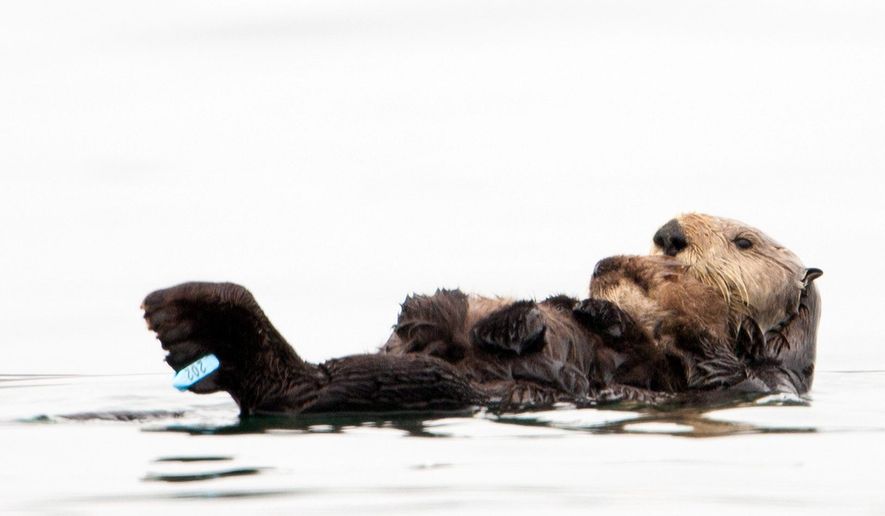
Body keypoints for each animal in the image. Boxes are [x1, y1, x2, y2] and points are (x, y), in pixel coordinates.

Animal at [142, 214, 821, 415]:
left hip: (426, 386)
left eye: (743, 241)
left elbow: (700, 355)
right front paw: (599, 285)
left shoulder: (751, 377)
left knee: (297, 387)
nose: (669, 235)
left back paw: (191, 319)